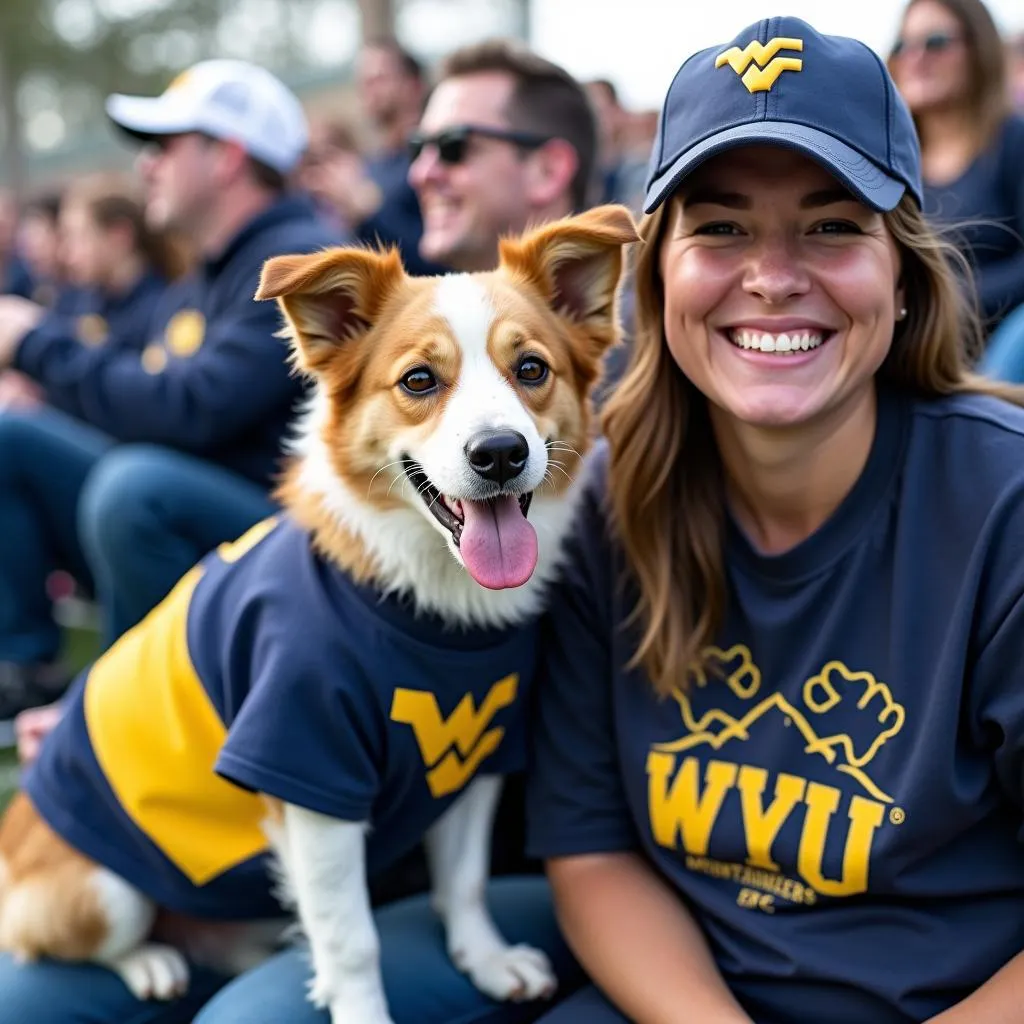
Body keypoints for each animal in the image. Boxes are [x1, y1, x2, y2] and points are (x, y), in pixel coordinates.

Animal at [0, 203, 638, 1019]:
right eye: (419, 380)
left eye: (531, 370)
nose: (499, 453)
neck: (427, 598)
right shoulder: (309, 771)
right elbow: (352, 936)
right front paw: (361, 1006)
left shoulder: (474, 756)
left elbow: (463, 881)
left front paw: (487, 960)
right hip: (104, 893)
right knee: (69, 938)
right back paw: (149, 962)